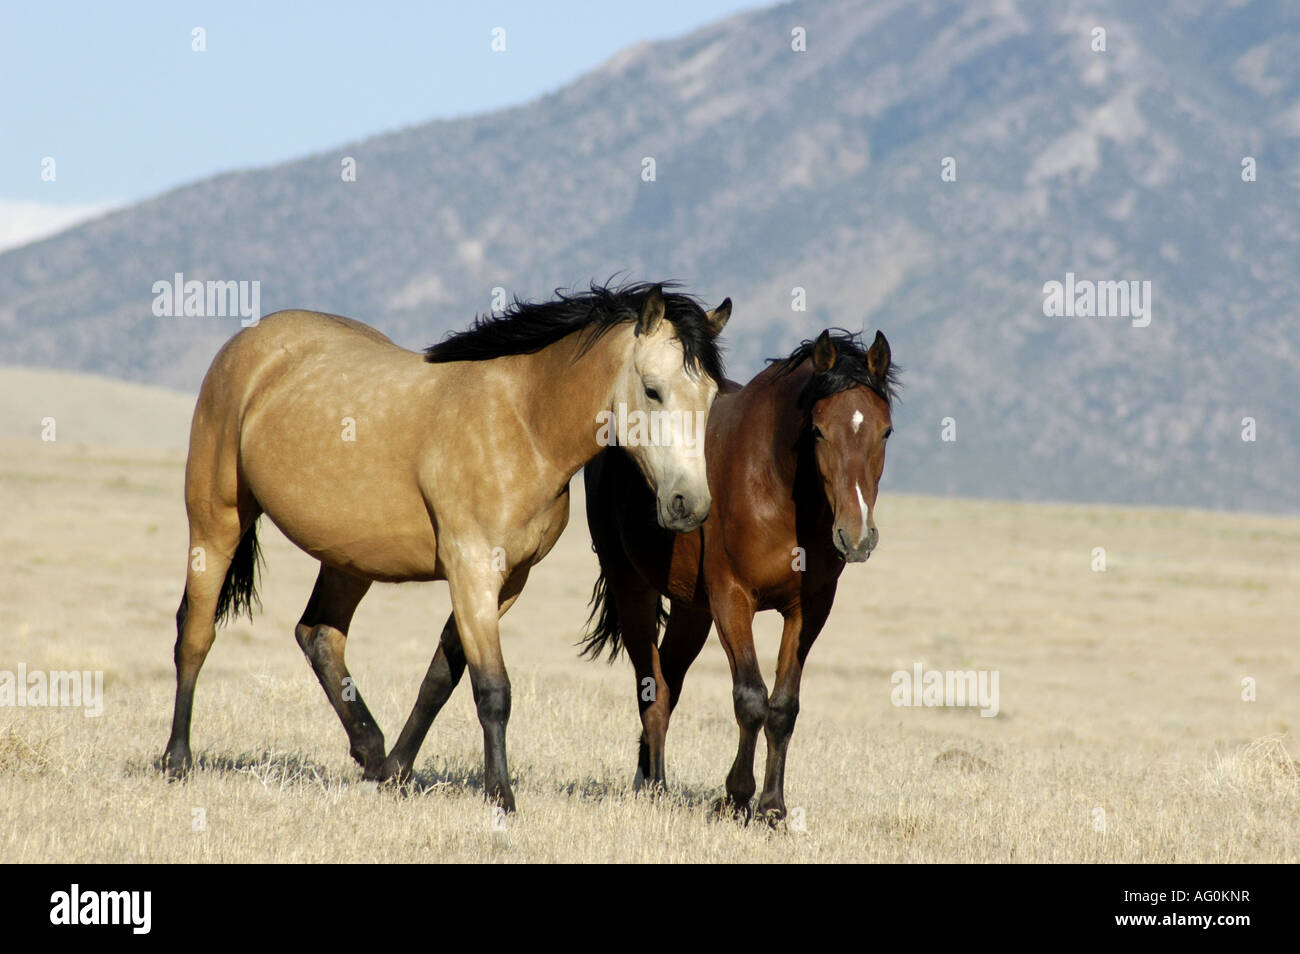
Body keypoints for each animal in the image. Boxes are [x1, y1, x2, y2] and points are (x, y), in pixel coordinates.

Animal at [162, 280, 733, 811]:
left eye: (710, 397)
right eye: (653, 391)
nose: (689, 504)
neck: (522, 423)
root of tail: (251, 344)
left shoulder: (507, 583)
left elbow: (442, 676)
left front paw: (396, 772)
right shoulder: (472, 571)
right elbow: (492, 688)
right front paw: (501, 796)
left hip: (349, 558)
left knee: (319, 635)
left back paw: (371, 751)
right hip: (216, 521)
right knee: (196, 633)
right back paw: (176, 760)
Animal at [585, 328, 899, 821]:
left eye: (885, 430)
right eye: (818, 430)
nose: (856, 535)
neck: (775, 485)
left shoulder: (809, 609)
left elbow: (783, 707)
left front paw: (772, 807)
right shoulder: (733, 599)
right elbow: (751, 698)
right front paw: (735, 796)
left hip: (692, 611)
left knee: (669, 684)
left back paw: (646, 781)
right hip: (632, 588)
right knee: (652, 692)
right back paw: (656, 788)